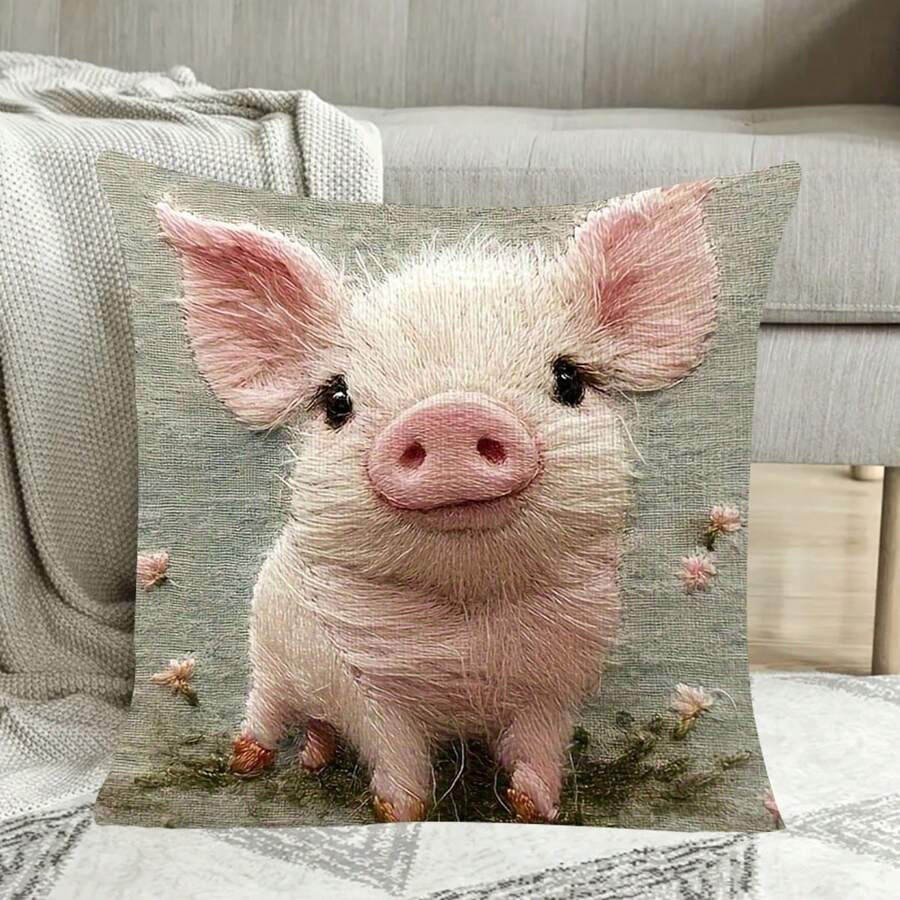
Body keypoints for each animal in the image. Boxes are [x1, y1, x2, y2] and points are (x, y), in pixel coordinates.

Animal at [156, 180, 719, 823]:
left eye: (569, 380)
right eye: (337, 400)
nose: (451, 414)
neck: (468, 629)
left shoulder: (558, 686)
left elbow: (539, 748)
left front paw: (535, 810)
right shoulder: (366, 686)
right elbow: (395, 752)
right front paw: (399, 814)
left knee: (318, 724)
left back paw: (314, 762)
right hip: (268, 651)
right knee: (268, 708)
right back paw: (248, 763)